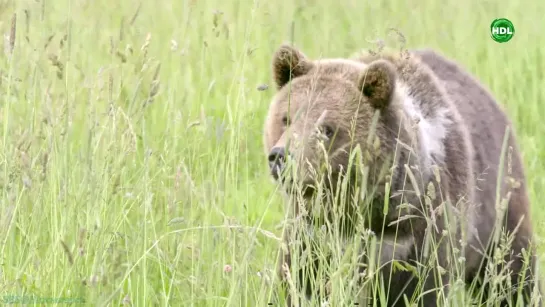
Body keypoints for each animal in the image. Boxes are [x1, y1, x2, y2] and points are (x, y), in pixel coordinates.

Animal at [262, 44, 540, 307]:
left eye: (327, 128)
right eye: (286, 118)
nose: (281, 156)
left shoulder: (417, 236)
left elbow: (419, 290)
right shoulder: (313, 233)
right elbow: (298, 281)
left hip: (499, 210)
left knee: (511, 271)